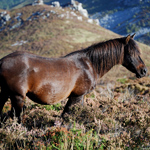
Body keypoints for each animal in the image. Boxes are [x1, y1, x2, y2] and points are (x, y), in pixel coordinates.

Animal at [0, 33, 147, 122]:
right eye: (132, 52)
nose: (144, 71)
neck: (89, 63)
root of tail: (2, 61)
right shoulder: (77, 96)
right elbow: (67, 115)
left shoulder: (80, 97)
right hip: (17, 97)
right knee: (17, 118)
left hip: (5, 95)